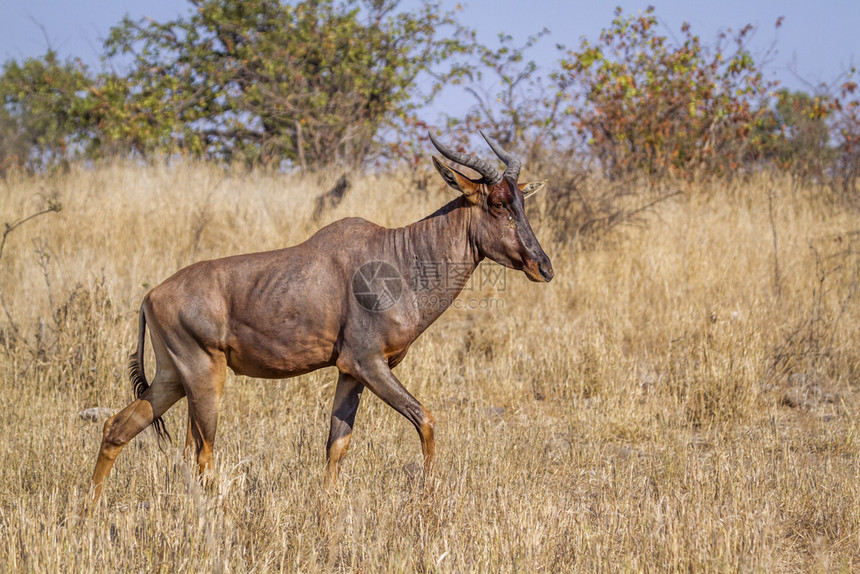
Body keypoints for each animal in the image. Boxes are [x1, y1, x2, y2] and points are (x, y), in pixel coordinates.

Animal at [90, 130, 556, 504]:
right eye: (497, 203)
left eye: (521, 202)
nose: (544, 267)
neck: (398, 257)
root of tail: (151, 295)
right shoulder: (369, 364)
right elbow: (425, 419)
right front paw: (428, 496)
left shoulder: (349, 372)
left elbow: (336, 444)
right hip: (205, 376)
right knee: (202, 452)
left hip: (172, 377)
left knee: (119, 427)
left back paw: (91, 510)